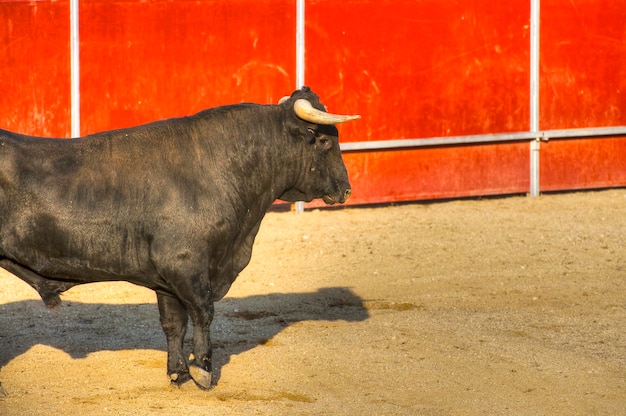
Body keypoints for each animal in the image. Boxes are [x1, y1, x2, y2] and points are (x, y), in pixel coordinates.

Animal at [0, 86, 358, 392]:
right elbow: (202, 313)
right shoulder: (187, 266)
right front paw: (203, 369)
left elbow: (174, 323)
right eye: (323, 140)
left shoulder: (166, 280)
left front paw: (178, 372)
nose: (346, 189)